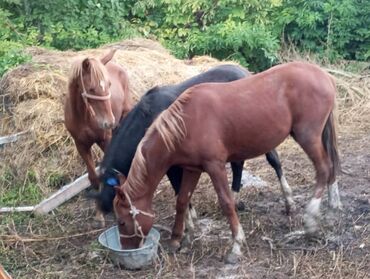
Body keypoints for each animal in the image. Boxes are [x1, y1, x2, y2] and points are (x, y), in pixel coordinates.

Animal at [64, 48, 132, 223]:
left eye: (109, 85)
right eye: (91, 89)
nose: (109, 122)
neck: (84, 116)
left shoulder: (104, 140)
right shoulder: (81, 145)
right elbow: (94, 178)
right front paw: (98, 213)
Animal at [113, 61, 342, 264]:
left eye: (122, 221)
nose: (126, 249)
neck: (186, 122)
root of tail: (324, 76)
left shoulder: (215, 166)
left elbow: (226, 202)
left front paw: (236, 246)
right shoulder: (192, 169)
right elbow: (182, 201)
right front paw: (180, 240)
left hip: (308, 137)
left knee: (323, 169)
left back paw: (310, 219)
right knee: (330, 168)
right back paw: (333, 205)